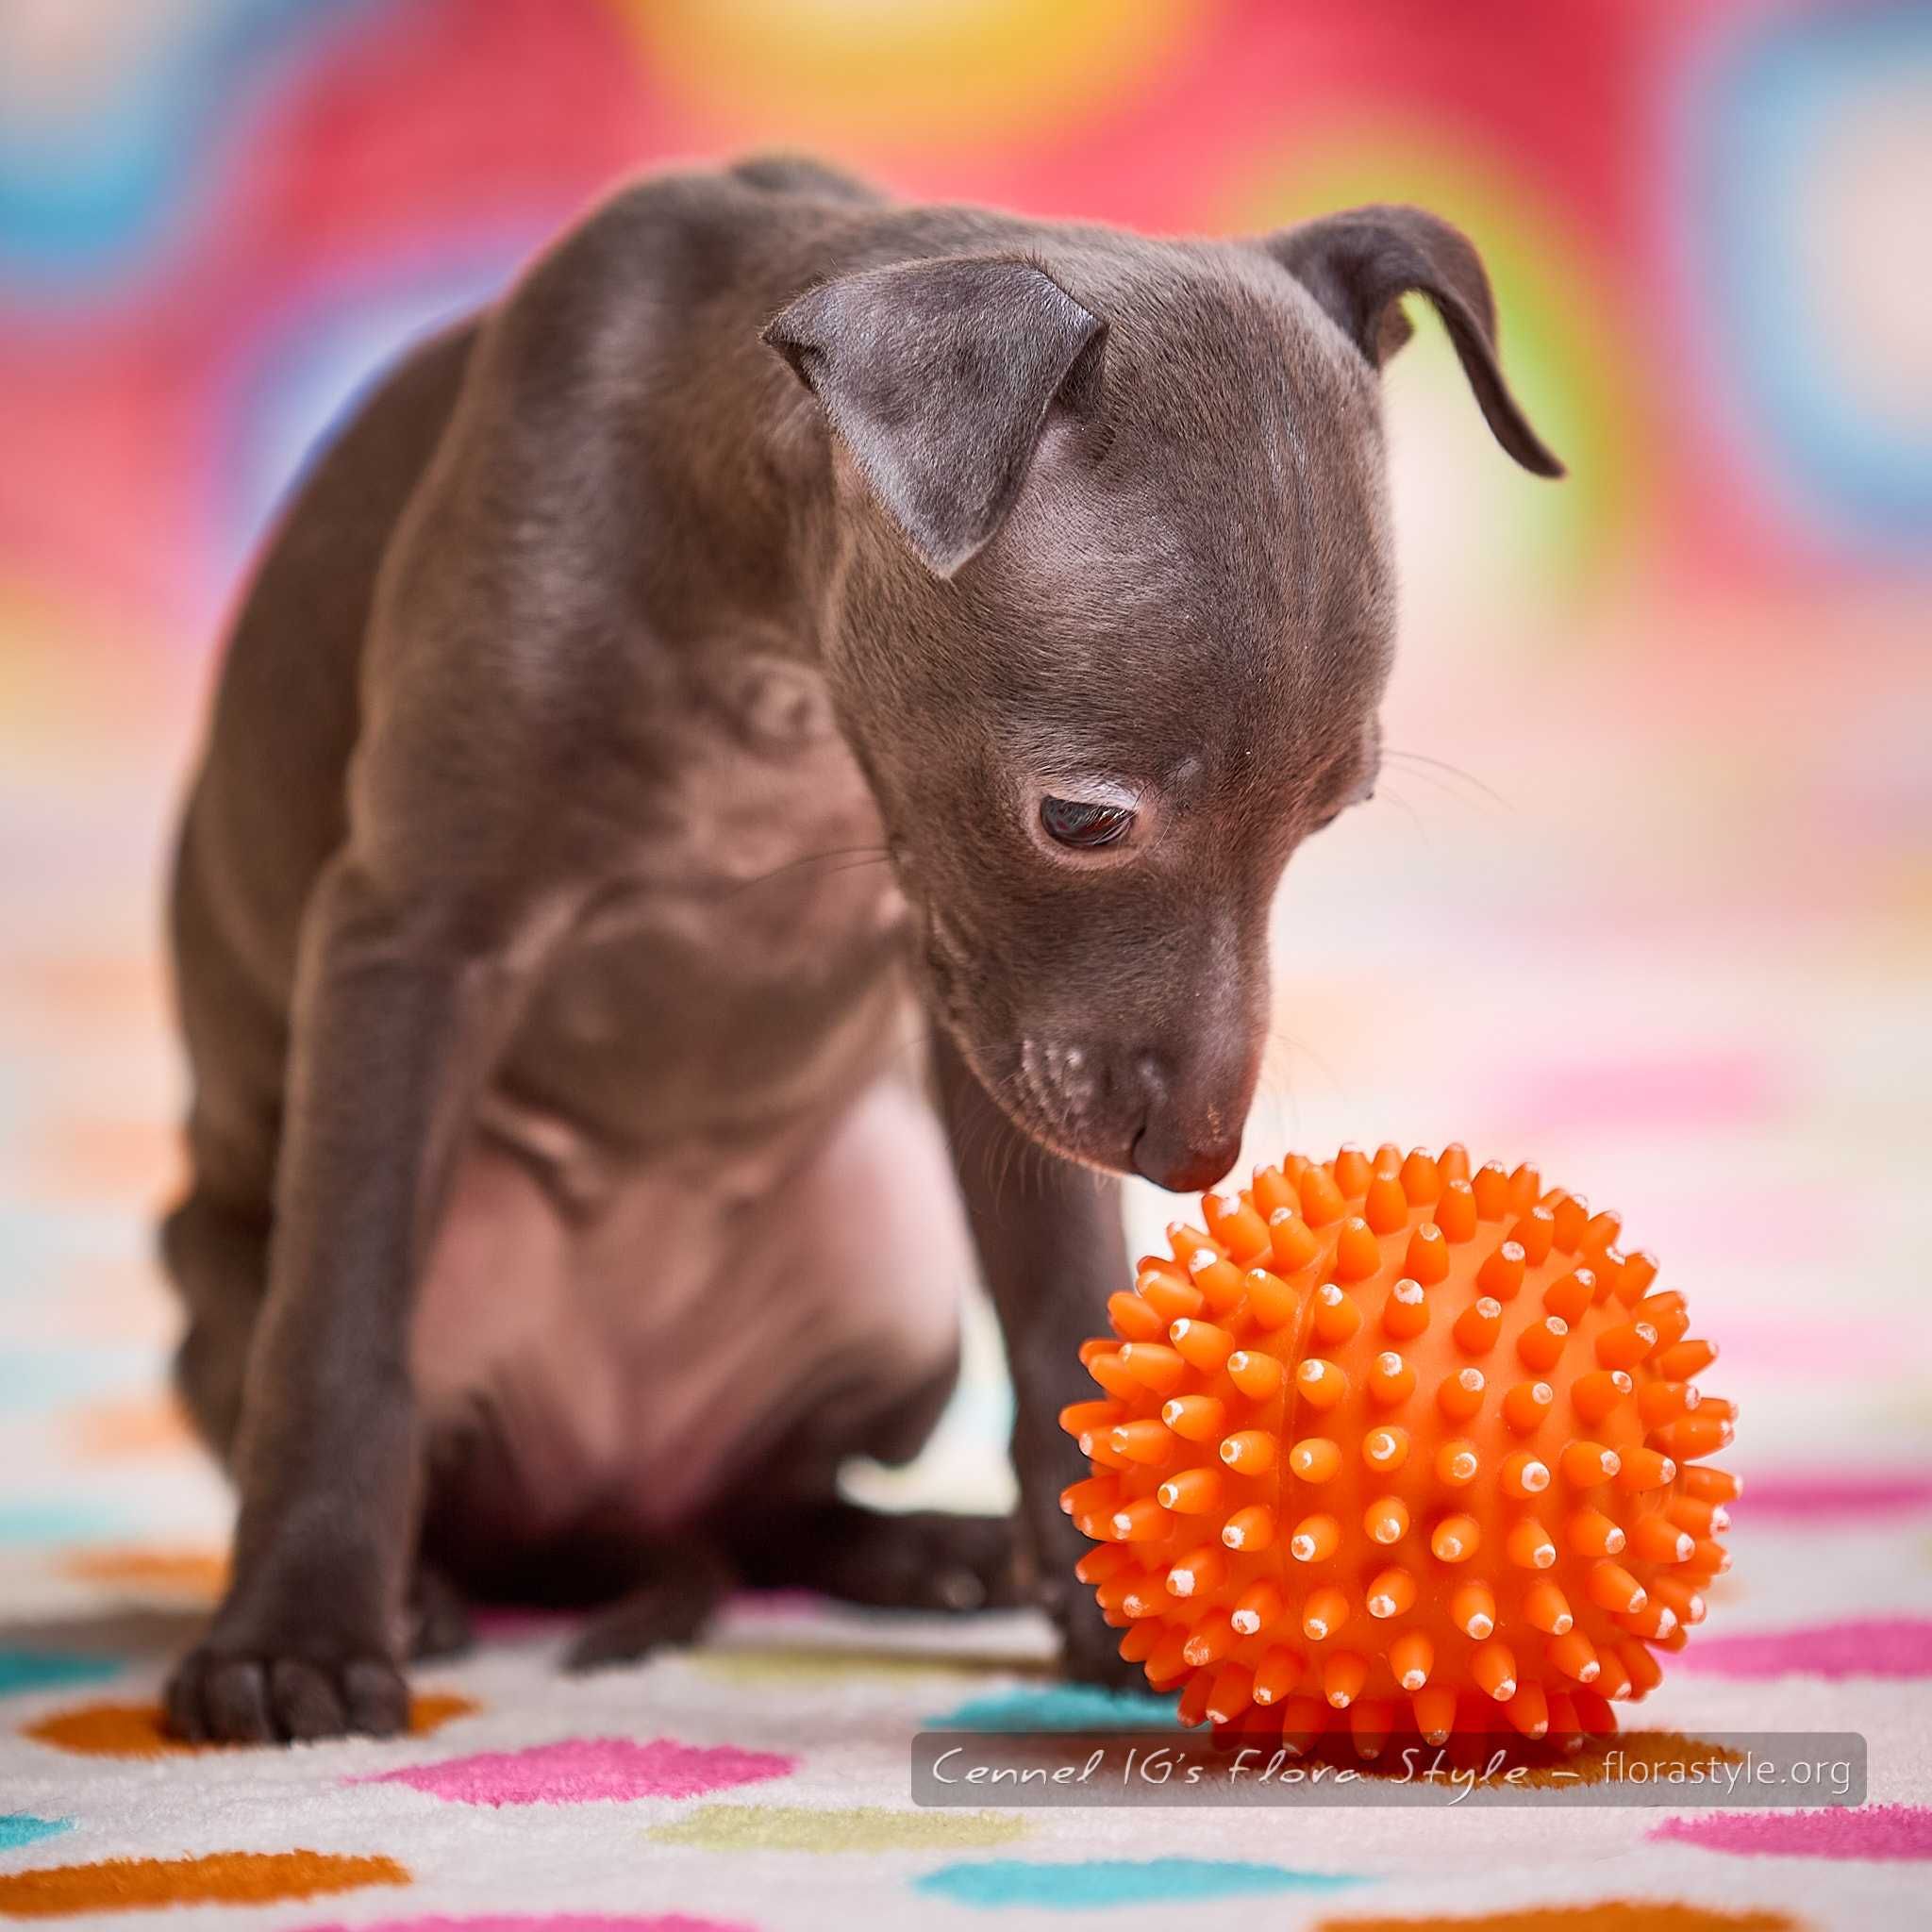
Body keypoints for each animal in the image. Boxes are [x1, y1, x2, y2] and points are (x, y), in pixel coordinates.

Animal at [158, 158, 1560, 1746]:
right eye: (1084, 818)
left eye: (1331, 818)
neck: (771, 655)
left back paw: (927, 1552)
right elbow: (341, 1335)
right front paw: (296, 1635)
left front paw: (1112, 1607)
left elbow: (1064, 1316)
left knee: (783, 1504)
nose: (1199, 1157)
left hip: (885, 1252)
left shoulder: (982, 1010)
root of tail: (619, 1481)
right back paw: (424, 1591)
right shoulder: (413, 942)